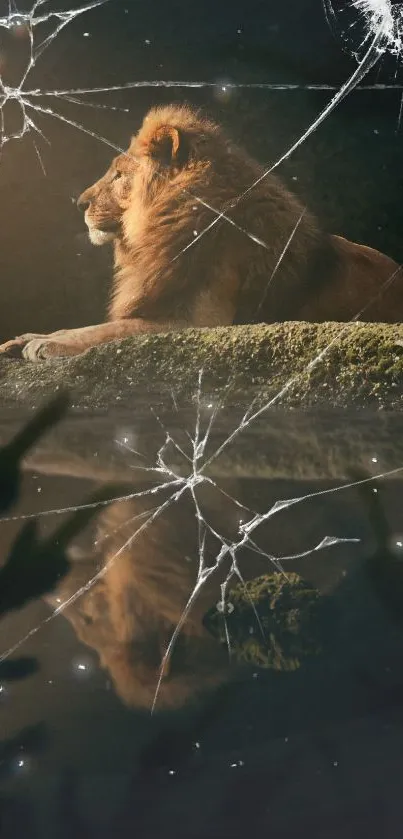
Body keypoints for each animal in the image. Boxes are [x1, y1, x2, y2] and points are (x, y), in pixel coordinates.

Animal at [0, 102, 400, 360]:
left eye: (118, 175)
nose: (80, 203)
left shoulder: (203, 322)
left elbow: (109, 330)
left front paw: (48, 343)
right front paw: (28, 337)